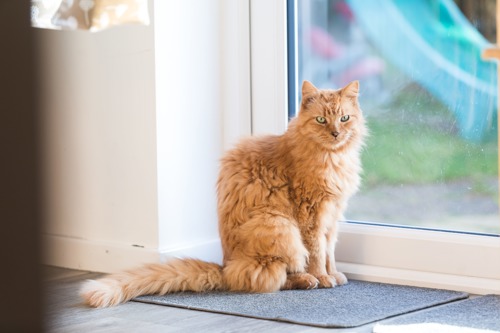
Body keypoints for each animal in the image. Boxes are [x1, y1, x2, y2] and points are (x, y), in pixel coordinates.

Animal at [80, 80, 366, 306]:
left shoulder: (332, 217)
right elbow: (317, 254)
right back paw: (307, 280)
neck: (332, 159)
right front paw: (323, 277)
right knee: (269, 277)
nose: (336, 133)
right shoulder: (311, 215)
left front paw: (335, 274)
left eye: (344, 118)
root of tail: (225, 267)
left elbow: (329, 253)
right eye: (321, 120)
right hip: (278, 225)